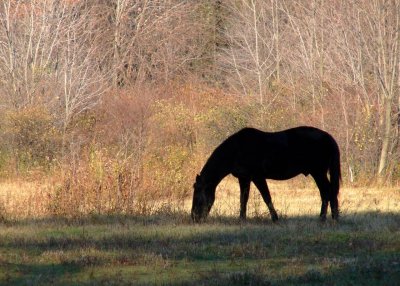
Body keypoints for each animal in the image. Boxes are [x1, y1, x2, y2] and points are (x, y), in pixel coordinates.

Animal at [191, 127, 340, 223]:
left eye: (197, 195)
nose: (194, 217)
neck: (237, 149)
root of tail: (328, 137)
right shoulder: (244, 178)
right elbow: (243, 198)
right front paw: (242, 219)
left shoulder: (257, 177)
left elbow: (266, 197)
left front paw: (275, 218)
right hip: (318, 173)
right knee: (328, 192)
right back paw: (331, 217)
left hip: (318, 173)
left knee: (327, 192)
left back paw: (325, 218)